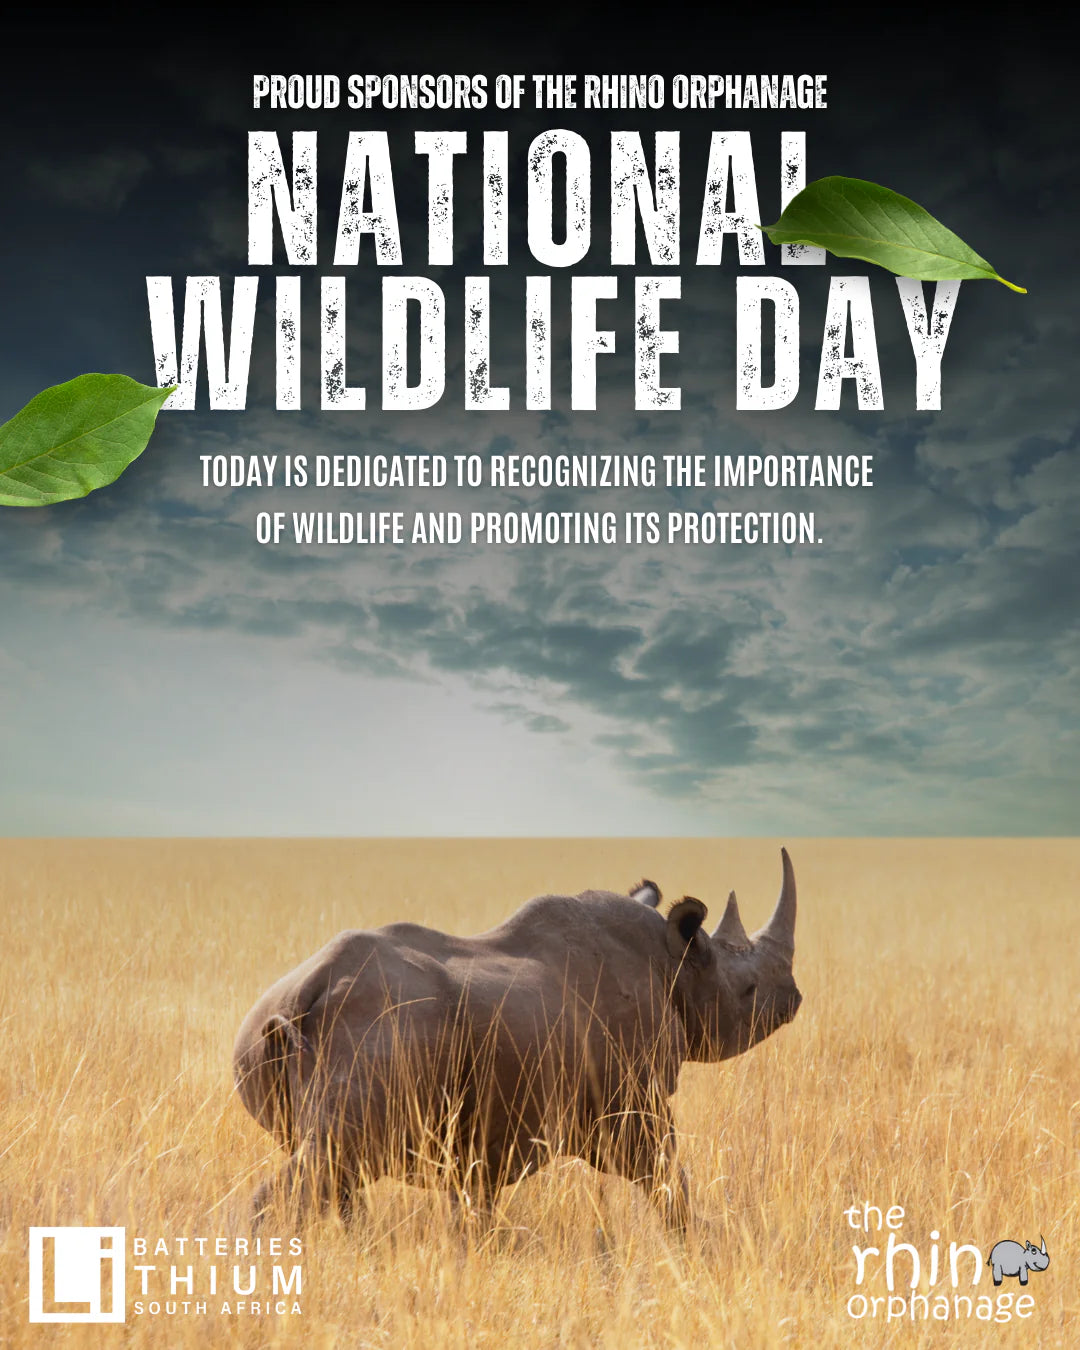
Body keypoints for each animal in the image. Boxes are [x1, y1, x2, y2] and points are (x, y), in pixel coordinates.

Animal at [233, 848, 802, 1231]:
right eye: (749, 990)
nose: (793, 999)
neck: (675, 965)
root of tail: (304, 993)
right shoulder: (633, 1102)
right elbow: (668, 1182)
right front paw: (700, 1244)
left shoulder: (479, 1135)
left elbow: (472, 1208)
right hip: (380, 1031)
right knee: (328, 1166)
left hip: (273, 1039)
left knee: (338, 1174)